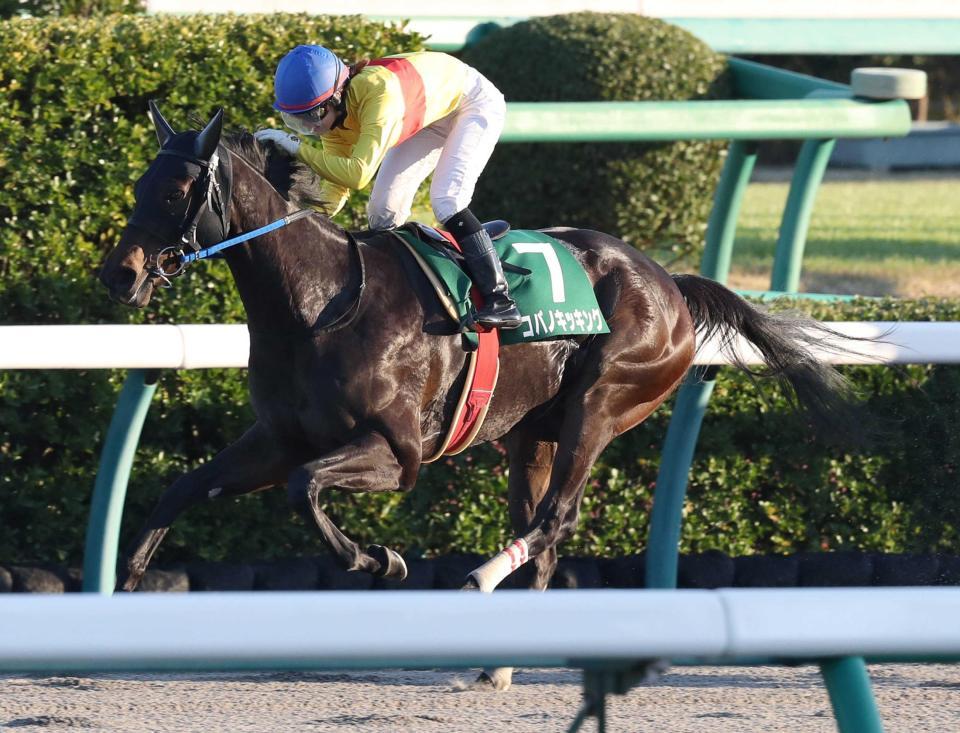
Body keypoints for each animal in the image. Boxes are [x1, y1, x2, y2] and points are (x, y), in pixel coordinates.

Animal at [99, 106, 864, 688]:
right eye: (138, 182)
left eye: (176, 191)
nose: (120, 274)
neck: (321, 303)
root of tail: (669, 282)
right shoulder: (279, 437)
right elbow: (183, 489)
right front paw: (127, 587)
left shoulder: (397, 453)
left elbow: (305, 489)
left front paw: (379, 558)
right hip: (533, 431)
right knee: (541, 530)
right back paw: (499, 659)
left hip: (603, 402)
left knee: (556, 519)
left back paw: (478, 582)